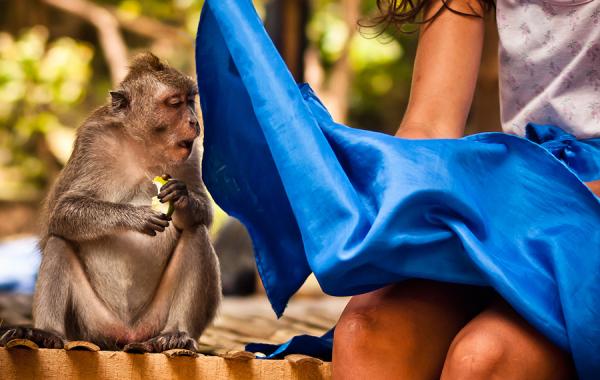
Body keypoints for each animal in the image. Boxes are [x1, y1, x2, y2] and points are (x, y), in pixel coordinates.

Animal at [0, 53, 221, 354]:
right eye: (175, 103)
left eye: (190, 101)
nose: (194, 122)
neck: (142, 147)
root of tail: (128, 335)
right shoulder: (93, 142)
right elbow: (62, 211)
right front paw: (134, 216)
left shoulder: (191, 154)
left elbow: (204, 215)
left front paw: (182, 197)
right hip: (91, 324)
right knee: (59, 242)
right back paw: (46, 332)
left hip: (153, 320)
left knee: (196, 234)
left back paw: (176, 332)